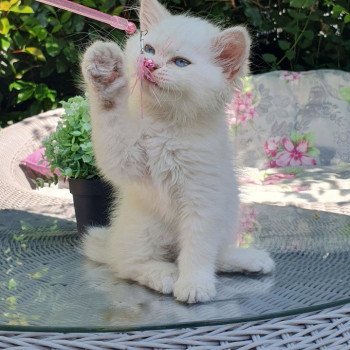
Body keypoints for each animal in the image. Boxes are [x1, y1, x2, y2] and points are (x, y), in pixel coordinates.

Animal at [80, 0, 274, 302]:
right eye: (149, 49)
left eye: (181, 62)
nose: (149, 64)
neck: (166, 126)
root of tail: (112, 242)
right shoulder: (127, 158)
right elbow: (112, 125)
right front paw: (106, 75)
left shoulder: (203, 201)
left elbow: (198, 250)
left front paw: (195, 284)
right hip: (143, 227)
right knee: (129, 264)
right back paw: (164, 274)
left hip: (226, 216)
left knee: (212, 256)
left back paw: (246, 259)